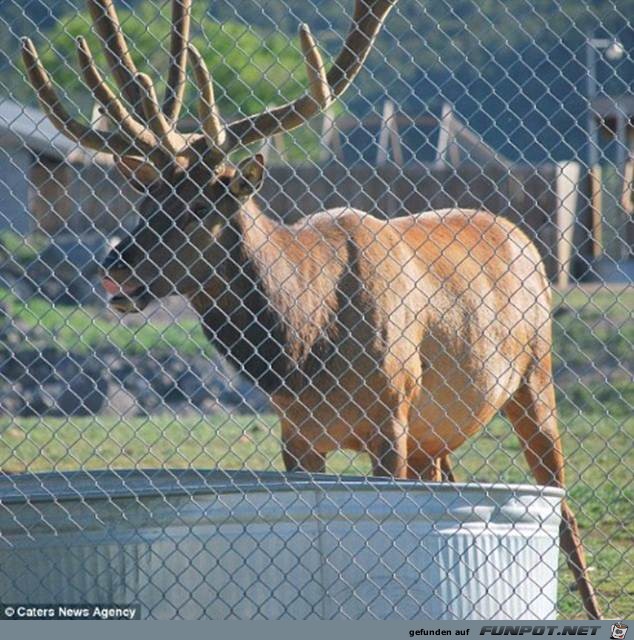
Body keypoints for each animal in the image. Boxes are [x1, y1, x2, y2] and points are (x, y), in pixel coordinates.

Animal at [22, 0, 600, 620]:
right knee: (455, 479)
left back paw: (592, 607)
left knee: (564, 508)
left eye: (200, 205)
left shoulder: (392, 413)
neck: (304, 342)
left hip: (533, 376)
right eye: (145, 197)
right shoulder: (296, 433)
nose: (114, 264)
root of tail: (521, 237)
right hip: (437, 430)